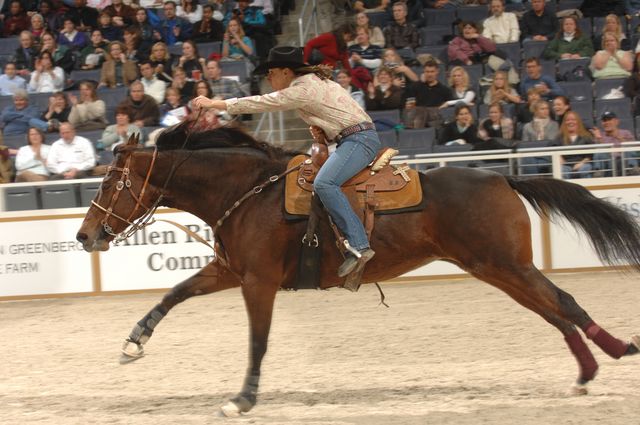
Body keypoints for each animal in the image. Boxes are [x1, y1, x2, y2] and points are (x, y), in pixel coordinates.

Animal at [77, 121, 640, 414]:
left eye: (109, 182)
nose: (85, 235)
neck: (247, 192)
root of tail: (503, 179)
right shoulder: (231, 272)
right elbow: (174, 293)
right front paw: (134, 341)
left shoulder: (258, 283)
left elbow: (257, 341)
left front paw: (243, 398)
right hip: (497, 269)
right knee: (555, 310)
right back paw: (590, 369)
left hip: (505, 264)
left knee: (561, 302)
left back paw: (611, 355)